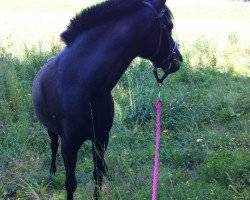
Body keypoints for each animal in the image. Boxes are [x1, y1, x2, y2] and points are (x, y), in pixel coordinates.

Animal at [32, 0, 183, 198]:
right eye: (170, 26)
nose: (178, 60)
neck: (84, 86)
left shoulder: (101, 137)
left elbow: (97, 176)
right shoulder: (69, 146)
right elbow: (70, 184)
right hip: (52, 131)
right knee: (53, 145)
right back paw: (51, 172)